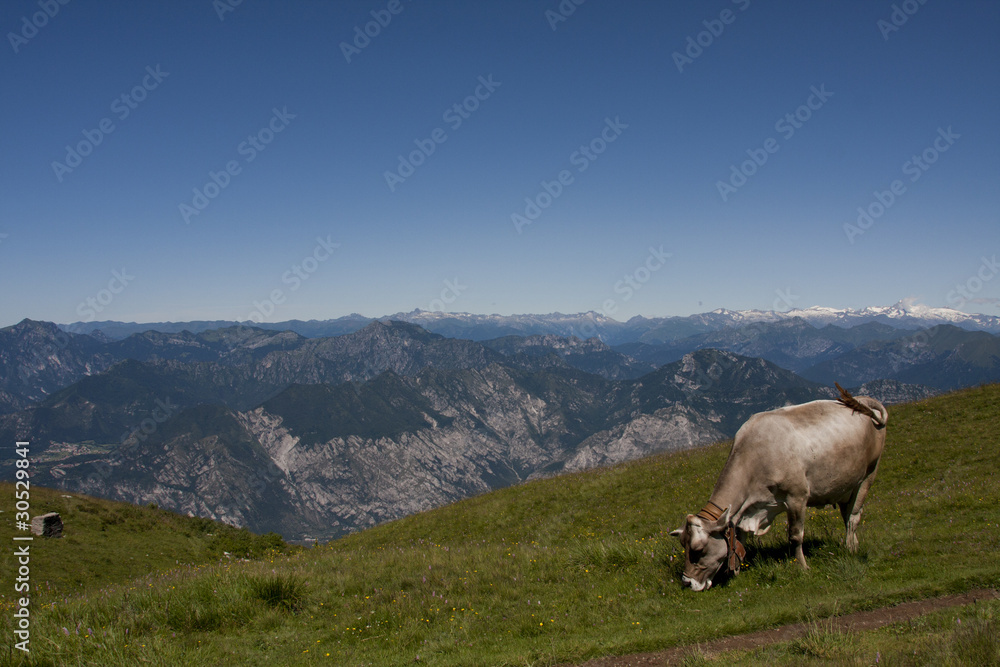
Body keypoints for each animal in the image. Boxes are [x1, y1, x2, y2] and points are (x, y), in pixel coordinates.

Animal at [668, 384, 888, 592]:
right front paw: (737, 569)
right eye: (683, 545)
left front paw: (802, 567)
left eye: (698, 549)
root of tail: (864, 400)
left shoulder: (797, 497)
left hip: (868, 475)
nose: (687, 582)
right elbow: (739, 538)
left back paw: (850, 549)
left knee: (853, 517)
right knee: (847, 513)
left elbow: (795, 535)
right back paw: (854, 544)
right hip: (846, 486)